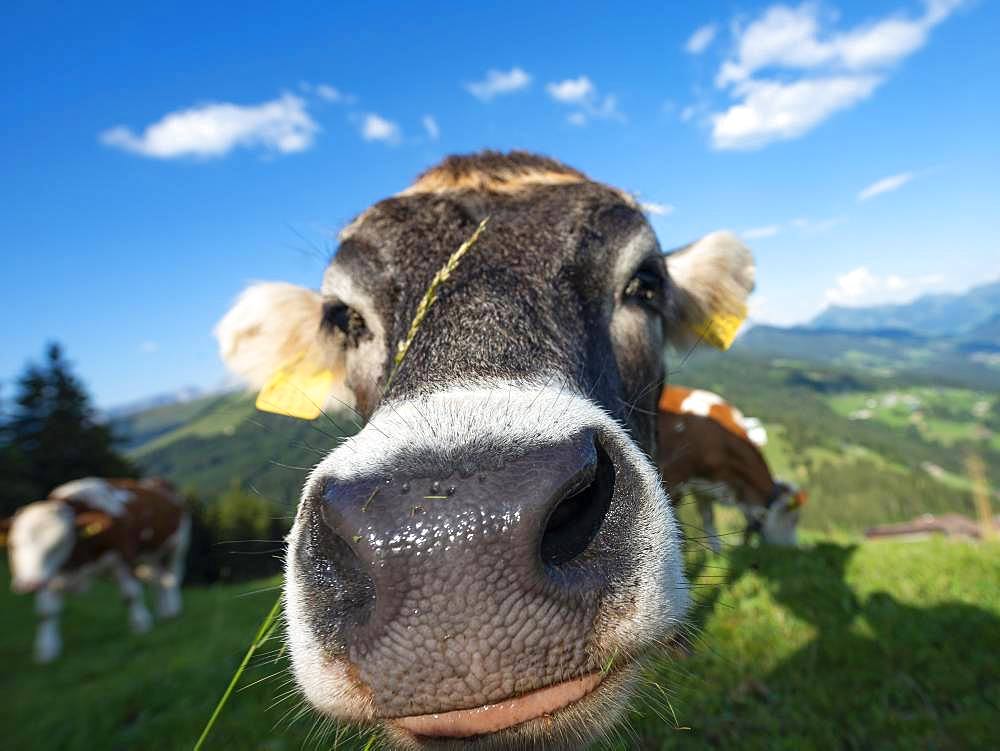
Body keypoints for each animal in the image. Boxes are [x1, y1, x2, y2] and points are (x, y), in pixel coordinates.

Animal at [1, 478, 191, 660]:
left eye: (59, 544)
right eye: (13, 545)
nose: (28, 584)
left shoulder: (124, 557)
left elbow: (130, 594)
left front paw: (141, 625)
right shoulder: (51, 576)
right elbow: (45, 612)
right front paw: (46, 650)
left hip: (178, 546)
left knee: (171, 577)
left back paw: (174, 610)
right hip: (151, 556)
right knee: (157, 581)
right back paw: (163, 613)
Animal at [660, 388, 808, 552]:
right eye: (794, 519)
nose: (793, 548)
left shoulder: (703, 488)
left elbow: (709, 519)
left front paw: (717, 552)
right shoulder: (675, 474)